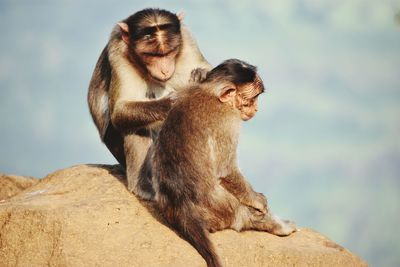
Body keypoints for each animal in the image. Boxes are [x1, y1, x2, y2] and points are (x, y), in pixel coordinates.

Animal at [86, 8, 212, 199]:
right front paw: (171, 103)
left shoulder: (187, 39)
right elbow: (120, 110)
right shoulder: (118, 53)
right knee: (135, 126)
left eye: (169, 52)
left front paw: (203, 73)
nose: (165, 70)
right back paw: (142, 186)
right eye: (152, 55)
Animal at [148, 59, 296, 266]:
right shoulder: (229, 121)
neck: (211, 93)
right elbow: (227, 170)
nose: (256, 109)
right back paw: (274, 225)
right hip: (223, 207)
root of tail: (182, 208)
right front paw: (258, 199)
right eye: (252, 99)